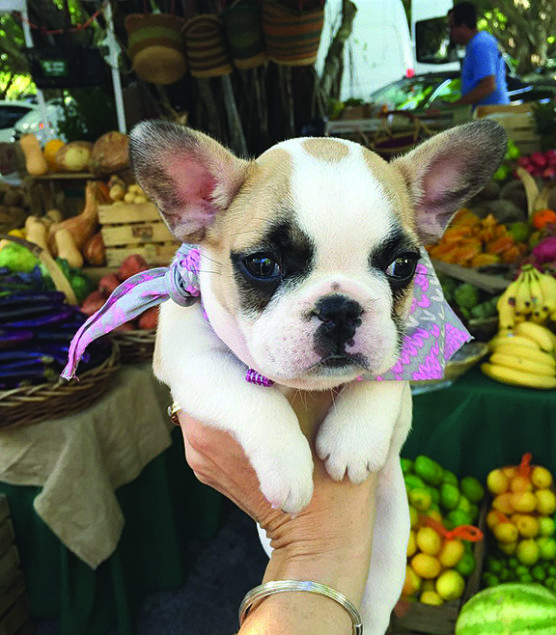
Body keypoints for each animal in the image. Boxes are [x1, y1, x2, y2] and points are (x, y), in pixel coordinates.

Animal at [128, 120, 506, 635]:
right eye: (263, 264)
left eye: (402, 266)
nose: (340, 307)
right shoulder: (189, 357)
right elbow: (247, 394)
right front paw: (288, 466)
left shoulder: (402, 343)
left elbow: (382, 377)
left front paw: (353, 442)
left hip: (393, 535)